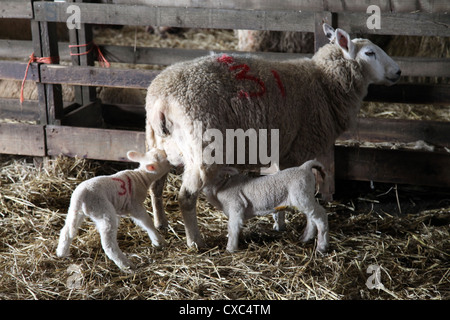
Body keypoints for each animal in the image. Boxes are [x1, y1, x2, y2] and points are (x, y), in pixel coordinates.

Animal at [144, 24, 400, 248]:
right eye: (369, 53)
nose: (398, 71)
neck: (324, 84)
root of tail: (161, 100)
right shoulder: (295, 149)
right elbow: (286, 182)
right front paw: (284, 225)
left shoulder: (279, 148)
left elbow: (276, 180)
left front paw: (278, 222)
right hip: (203, 149)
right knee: (186, 197)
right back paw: (195, 241)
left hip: (161, 146)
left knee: (156, 185)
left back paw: (161, 223)